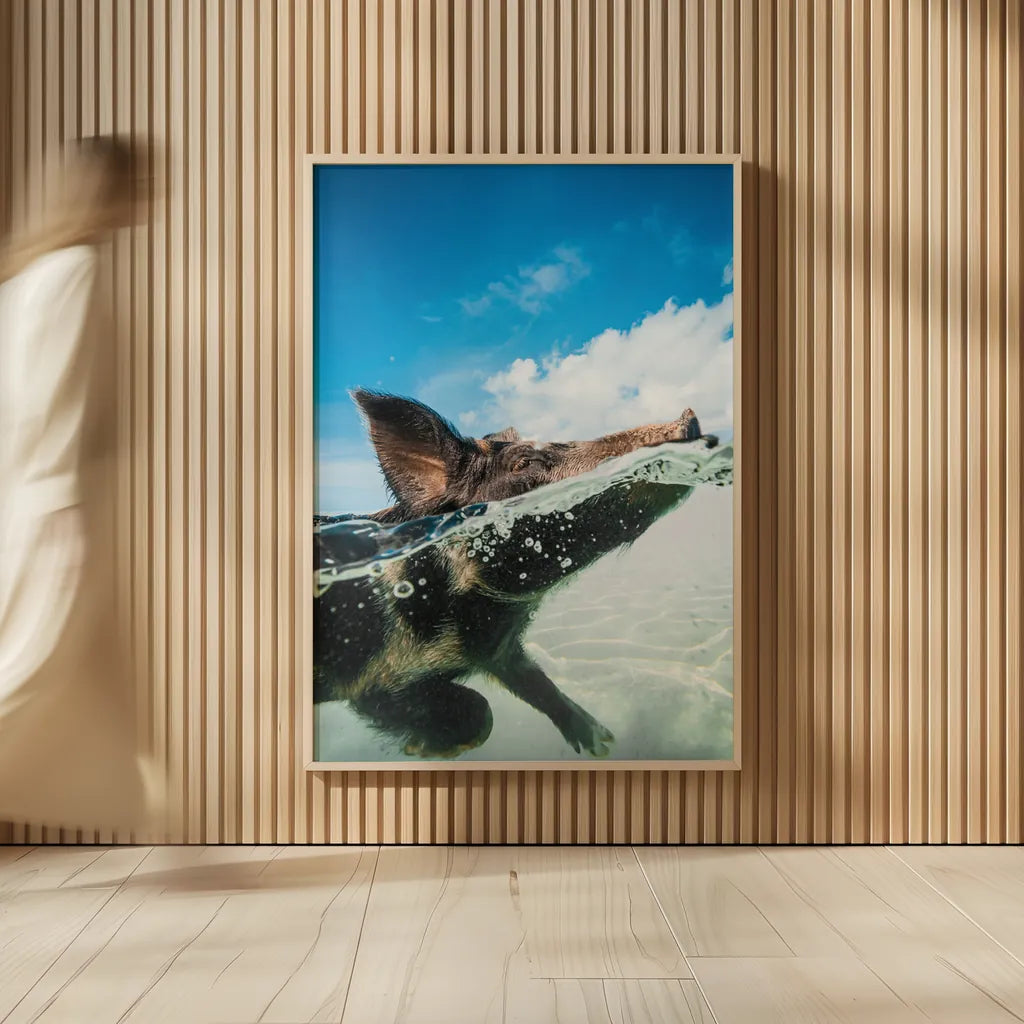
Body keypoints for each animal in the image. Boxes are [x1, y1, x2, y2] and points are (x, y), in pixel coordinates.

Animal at [314, 389, 719, 759]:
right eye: (524, 463)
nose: (689, 418)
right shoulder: (370, 679)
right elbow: (481, 713)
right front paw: (423, 750)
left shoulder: (503, 648)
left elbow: (535, 682)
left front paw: (601, 743)